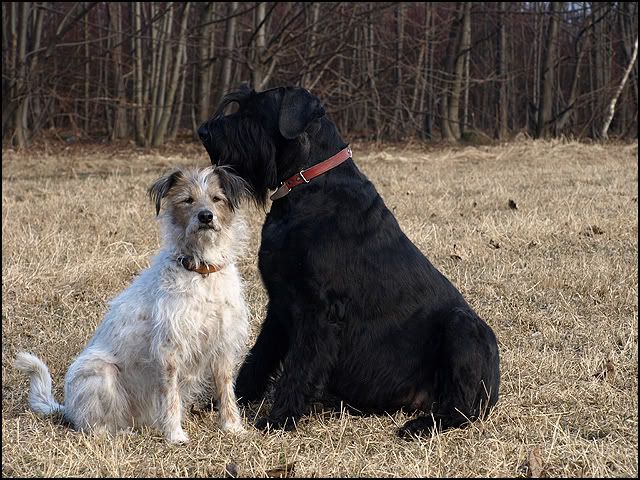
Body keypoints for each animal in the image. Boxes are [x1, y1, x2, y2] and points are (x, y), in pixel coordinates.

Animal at [14, 166, 250, 443]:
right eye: (188, 200)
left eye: (216, 198)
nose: (206, 216)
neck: (202, 271)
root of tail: (67, 407)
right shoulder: (169, 350)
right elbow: (170, 396)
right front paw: (175, 435)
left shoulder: (223, 345)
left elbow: (226, 390)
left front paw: (233, 427)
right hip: (101, 371)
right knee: (91, 427)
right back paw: (116, 433)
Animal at [197, 85, 500, 438]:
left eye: (256, 109)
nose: (204, 131)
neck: (307, 186)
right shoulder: (280, 304)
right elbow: (260, 356)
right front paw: (228, 402)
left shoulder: (319, 310)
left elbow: (300, 365)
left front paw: (279, 418)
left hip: (463, 327)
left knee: (461, 408)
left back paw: (421, 425)